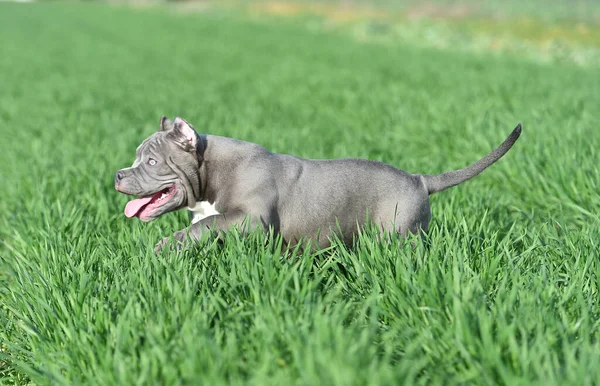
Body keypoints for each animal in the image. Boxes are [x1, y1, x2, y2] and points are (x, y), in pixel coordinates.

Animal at [116, 116, 520, 252]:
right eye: (136, 157)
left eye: (151, 162)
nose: (118, 175)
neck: (209, 167)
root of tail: (418, 180)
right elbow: (204, 227)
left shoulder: (251, 219)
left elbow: (209, 224)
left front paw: (166, 245)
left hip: (400, 234)